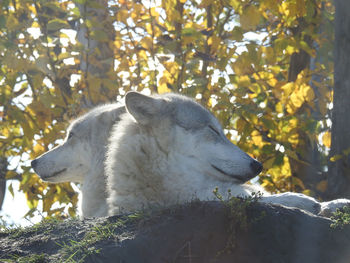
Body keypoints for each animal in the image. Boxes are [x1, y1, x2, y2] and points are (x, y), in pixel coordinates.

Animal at [32, 92, 348, 218]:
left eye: (70, 136)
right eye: (212, 130)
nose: (257, 164)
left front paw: (333, 203)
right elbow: (268, 199)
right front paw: (307, 202)